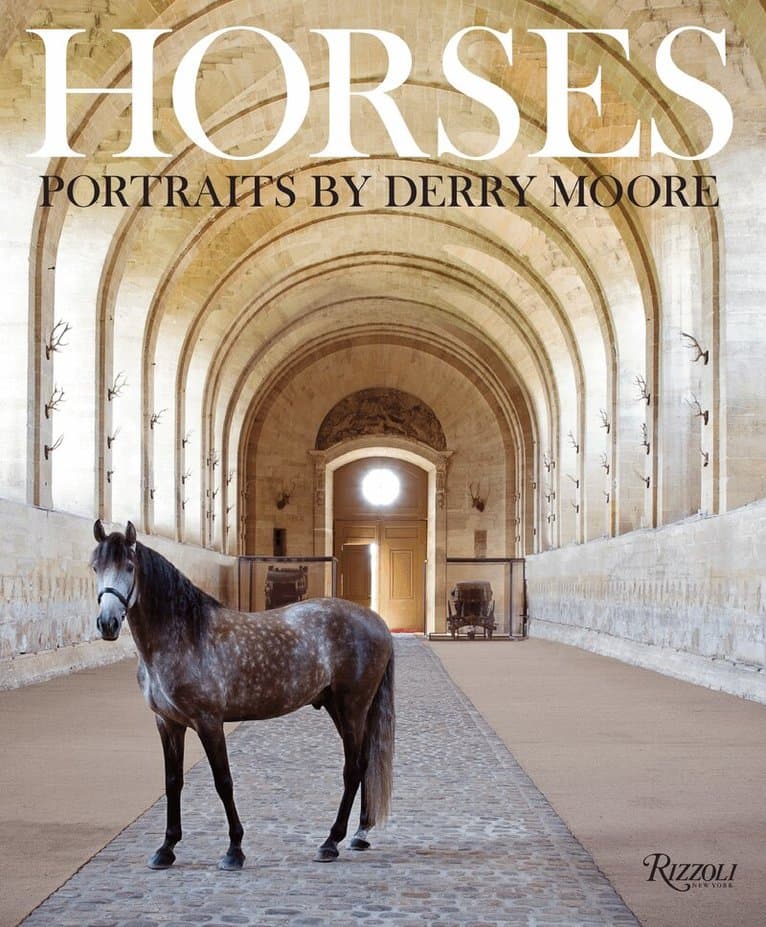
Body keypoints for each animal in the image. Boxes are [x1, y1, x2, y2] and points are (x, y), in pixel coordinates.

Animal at [90, 520, 395, 871]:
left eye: (129, 567)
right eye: (95, 566)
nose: (108, 624)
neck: (185, 635)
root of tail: (377, 622)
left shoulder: (209, 722)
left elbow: (223, 781)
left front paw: (234, 849)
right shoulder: (168, 723)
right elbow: (173, 782)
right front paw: (166, 849)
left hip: (352, 708)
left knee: (353, 769)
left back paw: (331, 842)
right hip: (342, 707)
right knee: (364, 764)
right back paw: (360, 834)